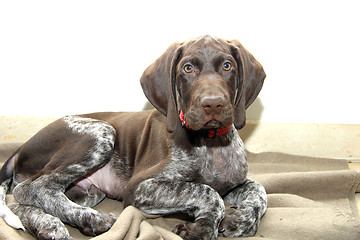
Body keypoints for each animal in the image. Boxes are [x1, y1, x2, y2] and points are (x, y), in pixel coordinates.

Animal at [0, 36, 268, 240]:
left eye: (227, 66)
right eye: (188, 68)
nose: (213, 104)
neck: (210, 143)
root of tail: (20, 149)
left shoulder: (232, 183)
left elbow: (259, 190)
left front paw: (241, 219)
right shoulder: (140, 187)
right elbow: (207, 191)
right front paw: (202, 228)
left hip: (89, 191)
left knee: (20, 201)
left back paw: (50, 225)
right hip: (102, 132)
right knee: (29, 188)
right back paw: (87, 220)